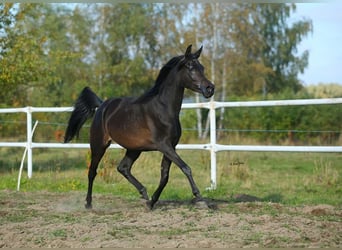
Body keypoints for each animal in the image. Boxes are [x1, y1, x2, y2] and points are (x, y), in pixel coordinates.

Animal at [63, 45, 214, 209]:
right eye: (190, 66)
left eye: (202, 67)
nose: (210, 88)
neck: (163, 109)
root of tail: (102, 106)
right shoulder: (164, 146)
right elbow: (185, 168)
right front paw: (200, 198)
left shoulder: (171, 146)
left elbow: (165, 175)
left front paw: (152, 201)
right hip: (99, 145)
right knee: (92, 171)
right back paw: (88, 203)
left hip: (134, 149)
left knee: (123, 168)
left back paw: (144, 193)